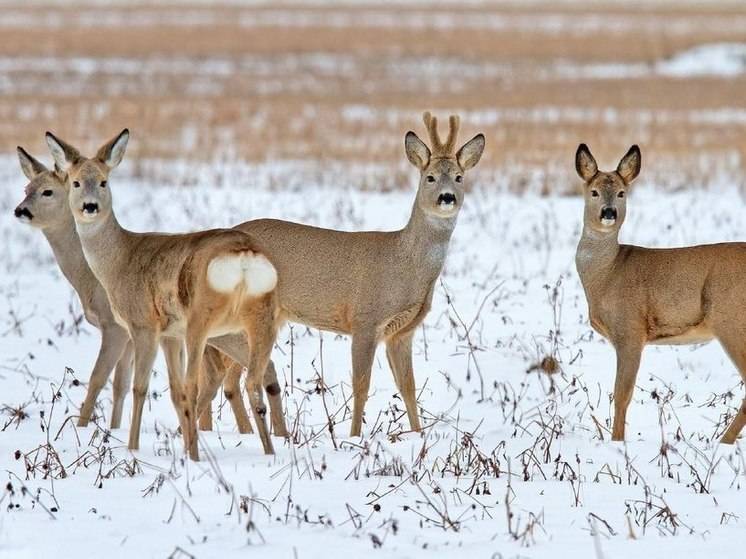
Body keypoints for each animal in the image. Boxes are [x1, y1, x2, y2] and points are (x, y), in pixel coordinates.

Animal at [10, 148, 256, 434]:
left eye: (47, 191)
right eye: (26, 188)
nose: (20, 210)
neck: (90, 276)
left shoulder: (115, 327)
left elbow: (99, 379)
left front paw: (83, 428)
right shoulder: (131, 333)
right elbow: (121, 384)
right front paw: (114, 429)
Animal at [576, 144, 744, 446]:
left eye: (622, 192)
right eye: (593, 191)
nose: (609, 212)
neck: (607, 274)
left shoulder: (630, 329)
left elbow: (622, 394)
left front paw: (617, 443)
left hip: (731, 319)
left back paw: (723, 442)